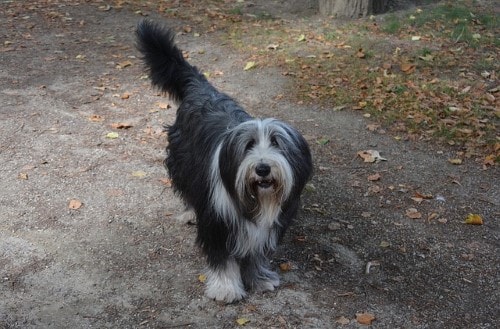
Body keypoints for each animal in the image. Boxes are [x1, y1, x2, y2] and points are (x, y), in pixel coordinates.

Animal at [137, 19, 312, 302]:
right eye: (249, 145)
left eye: (277, 143)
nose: (262, 169)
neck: (255, 200)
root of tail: (201, 88)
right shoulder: (217, 219)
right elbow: (222, 257)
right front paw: (226, 288)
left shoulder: (263, 228)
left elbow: (254, 253)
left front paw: (259, 278)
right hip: (183, 161)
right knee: (187, 187)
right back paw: (190, 210)